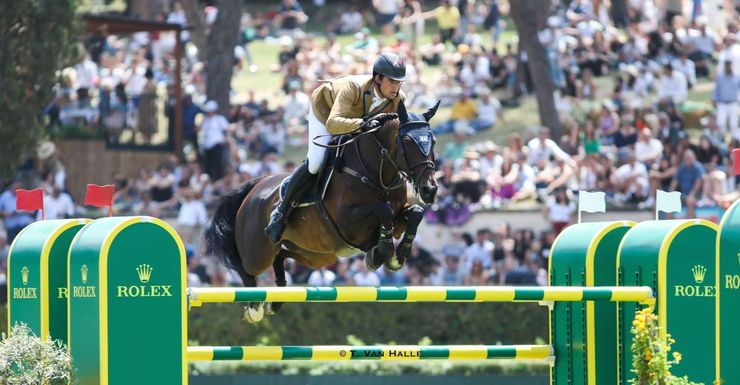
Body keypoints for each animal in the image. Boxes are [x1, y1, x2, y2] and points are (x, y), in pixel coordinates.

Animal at [204, 100, 440, 320]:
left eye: (434, 141)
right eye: (407, 141)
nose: (430, 190)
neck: (377, 172)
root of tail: (254, 187)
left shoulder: (398, 217)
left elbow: (415, 213)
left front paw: (396, 257)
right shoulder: (348, 223)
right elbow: (384, 211)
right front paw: (380, 253)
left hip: (315, 255)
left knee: (281, 256)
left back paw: (276, 299)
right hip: (258, 253)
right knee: (245, 267)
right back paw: (254, 306)